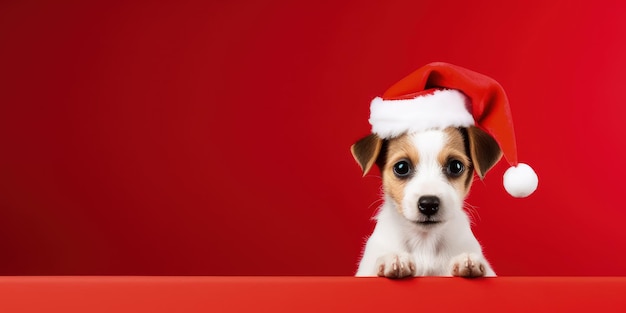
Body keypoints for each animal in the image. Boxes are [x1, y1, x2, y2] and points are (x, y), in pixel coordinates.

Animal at [352, 125, 502, 276]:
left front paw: (466, 261)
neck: (425, 242)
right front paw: (393, 259)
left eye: (456, 166)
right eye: (401, 167)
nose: (429, 204)